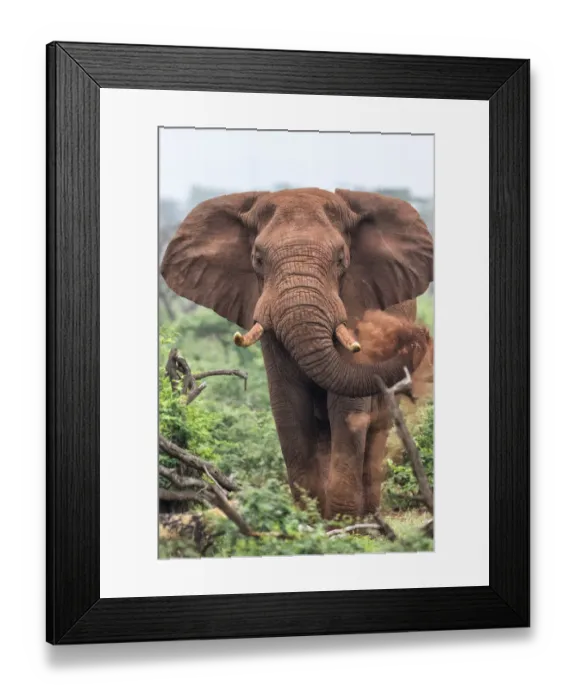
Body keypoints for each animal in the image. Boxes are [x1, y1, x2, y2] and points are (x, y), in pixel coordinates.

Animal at [161, 188, 433, 518]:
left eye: (341, 259)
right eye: (258, 259)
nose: (420, 334)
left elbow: (347, 405)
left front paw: (340, 521)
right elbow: (289, 403)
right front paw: (309, 517)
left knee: (377, 426)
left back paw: (370, 515)